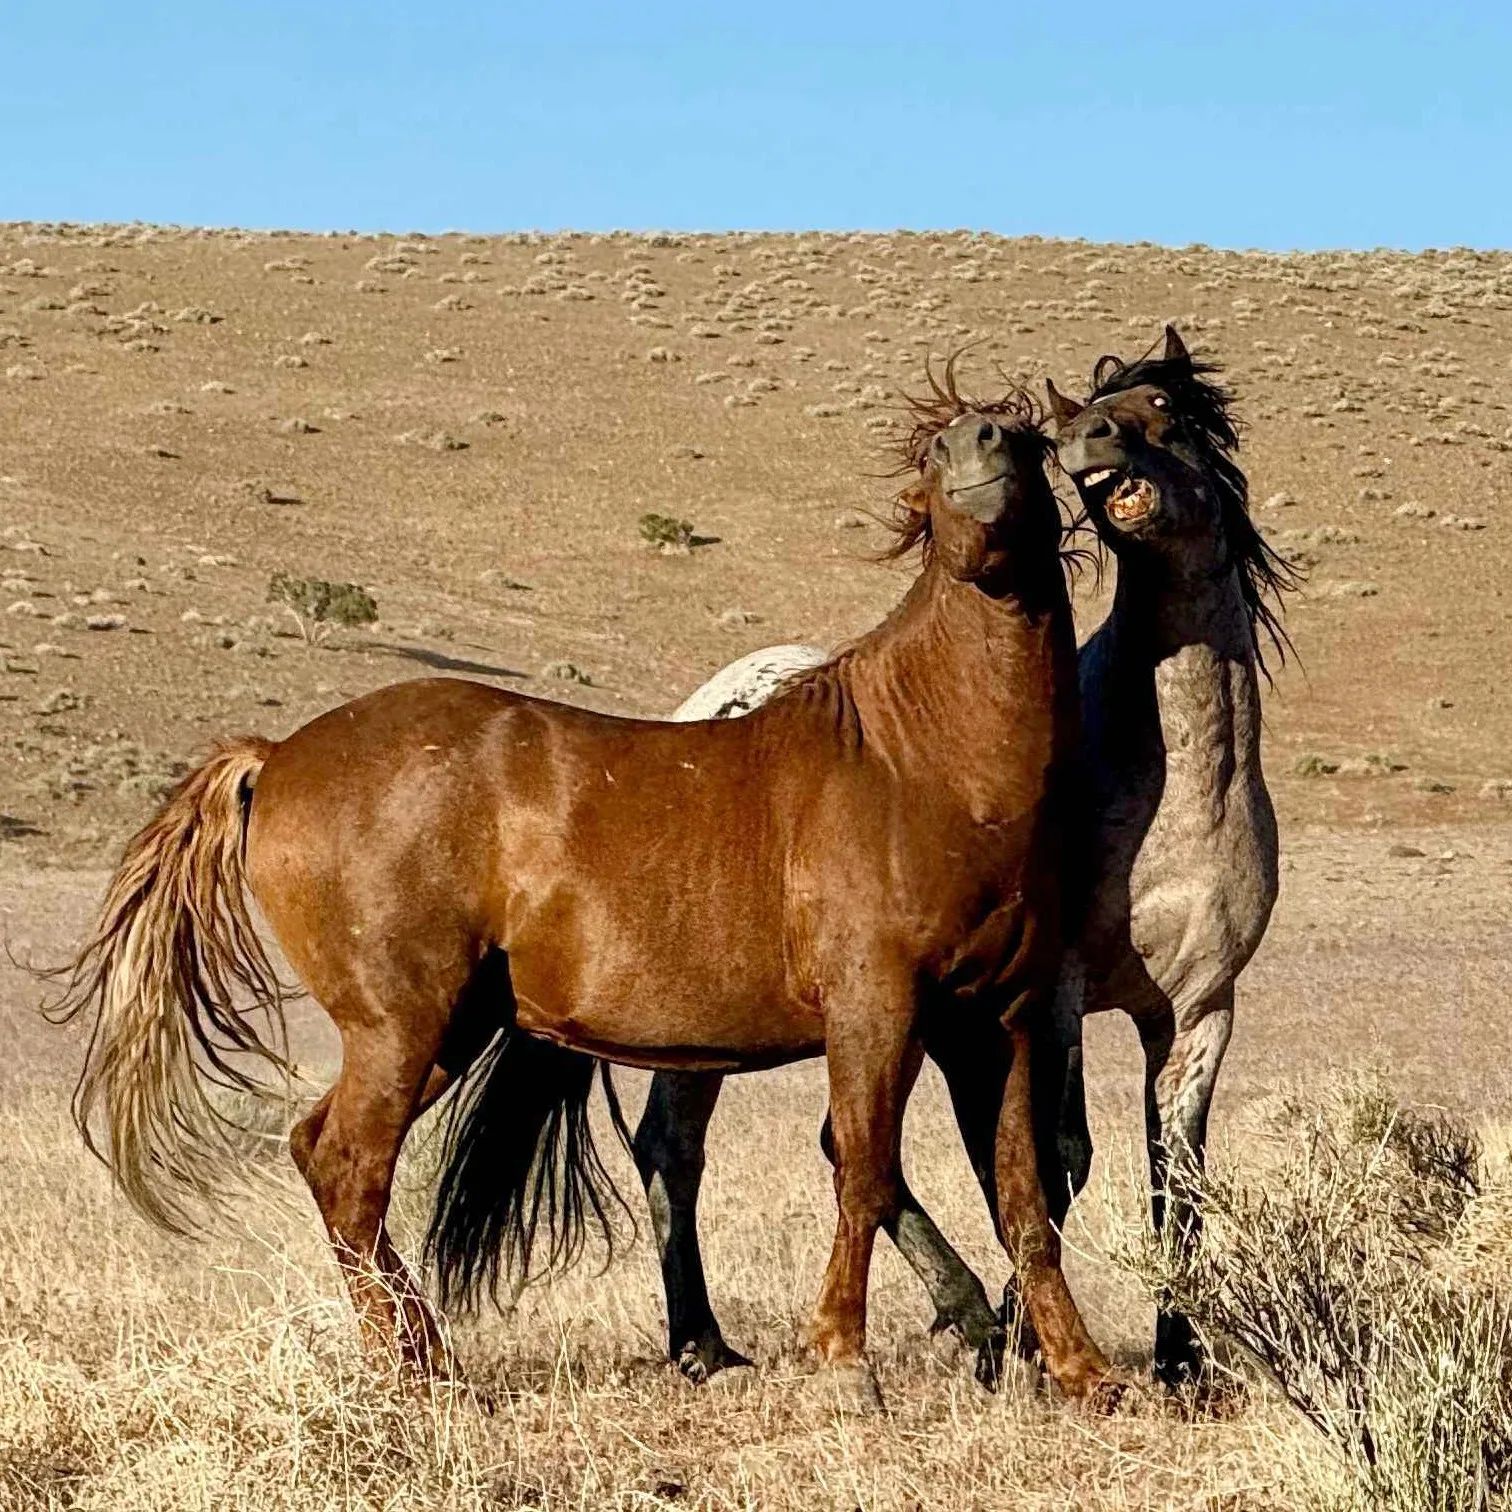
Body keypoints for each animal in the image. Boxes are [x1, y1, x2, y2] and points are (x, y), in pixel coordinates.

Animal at [46, 377, 1126, 1411]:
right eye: (930, 456)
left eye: (1029, 437)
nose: (977, 447)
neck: (924, 767)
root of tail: (278, 758)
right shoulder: (876, 1010)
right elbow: (866, 1173)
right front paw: (844, 1365)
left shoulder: (997, 1021)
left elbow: (1024, 1200)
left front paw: (1084, 1374)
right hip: (400, 1027)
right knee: (353, 1170)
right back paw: (424, 1378)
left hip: (454, 1029)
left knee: (322, 1154)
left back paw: (431, 1363)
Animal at [633, 327, 1297, 1389]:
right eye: (1090, 412)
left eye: (1166, 409)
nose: (1086, 437)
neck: (1187, 782)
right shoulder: (1051, 990)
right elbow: (1057, 1159)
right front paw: (1029, 1338)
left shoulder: (1198, 1010)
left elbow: (1179, 1181)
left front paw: (1178, 1355)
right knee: (708, 1146)